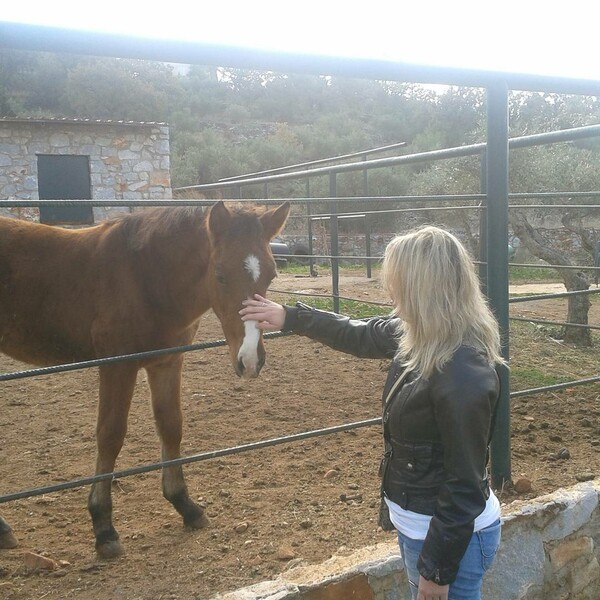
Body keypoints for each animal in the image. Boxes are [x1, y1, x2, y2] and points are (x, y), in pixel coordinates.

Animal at [0, 202, 290, 556]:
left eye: (271, 274)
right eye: (220, 274)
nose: (249, 360)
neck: (146, 277)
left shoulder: (167, 362)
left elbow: (171, 426)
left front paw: (186, 505)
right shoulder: (117, 366)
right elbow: (110, 435)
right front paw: (104, 528)